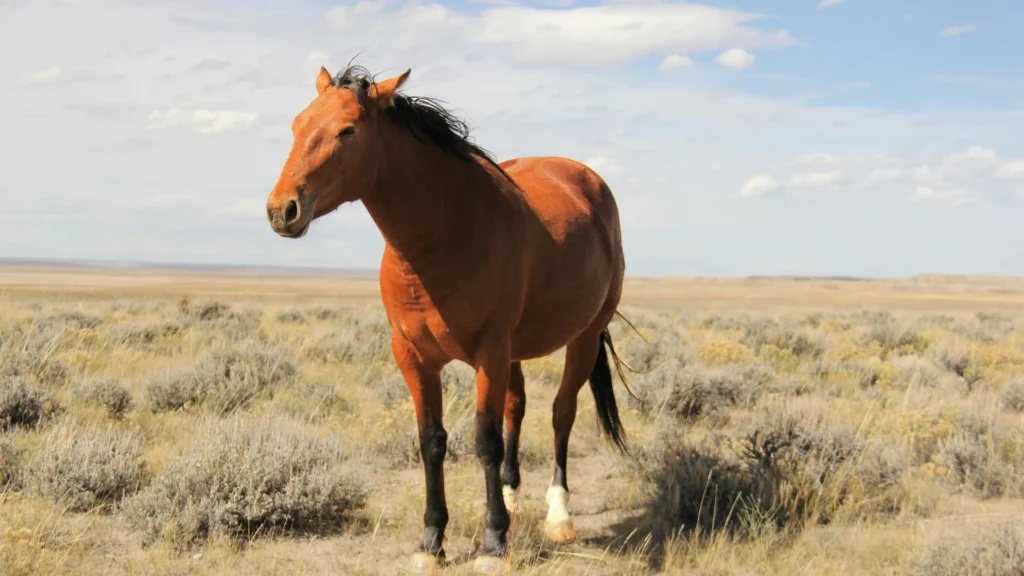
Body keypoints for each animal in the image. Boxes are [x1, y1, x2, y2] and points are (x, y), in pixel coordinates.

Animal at [266, 64, 632, 575]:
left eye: (348, 130)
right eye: (297, 125)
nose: (282, 210)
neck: (443, 236)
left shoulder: (489, 353)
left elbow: (484, 440)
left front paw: (494, 544)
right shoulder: (413, 355)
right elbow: (432, 442)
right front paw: (432, 540)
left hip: (583, 336)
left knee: (562, 413)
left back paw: (558, 515)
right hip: (517, 352)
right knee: (517, 408)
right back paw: (511, 497)